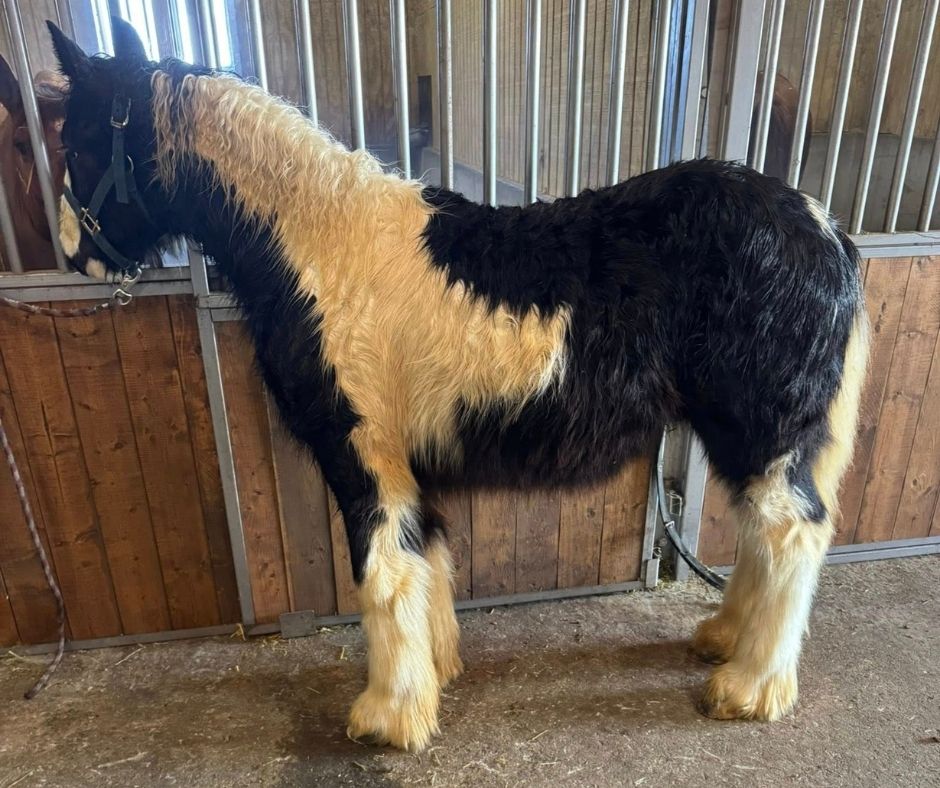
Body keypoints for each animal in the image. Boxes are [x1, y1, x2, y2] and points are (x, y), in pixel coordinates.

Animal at [49, 18, 868, 752]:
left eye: (82, 142)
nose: (74, 257)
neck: (318, 250)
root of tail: (828, 233)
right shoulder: (412, 461)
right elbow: (428, 560)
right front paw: (435, 673)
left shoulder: (364, 456)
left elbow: (381, 573)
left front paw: (387, 717)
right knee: (765, 535)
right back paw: (722, 640)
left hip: (761, 433)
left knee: (790, 533)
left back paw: (748, 688)